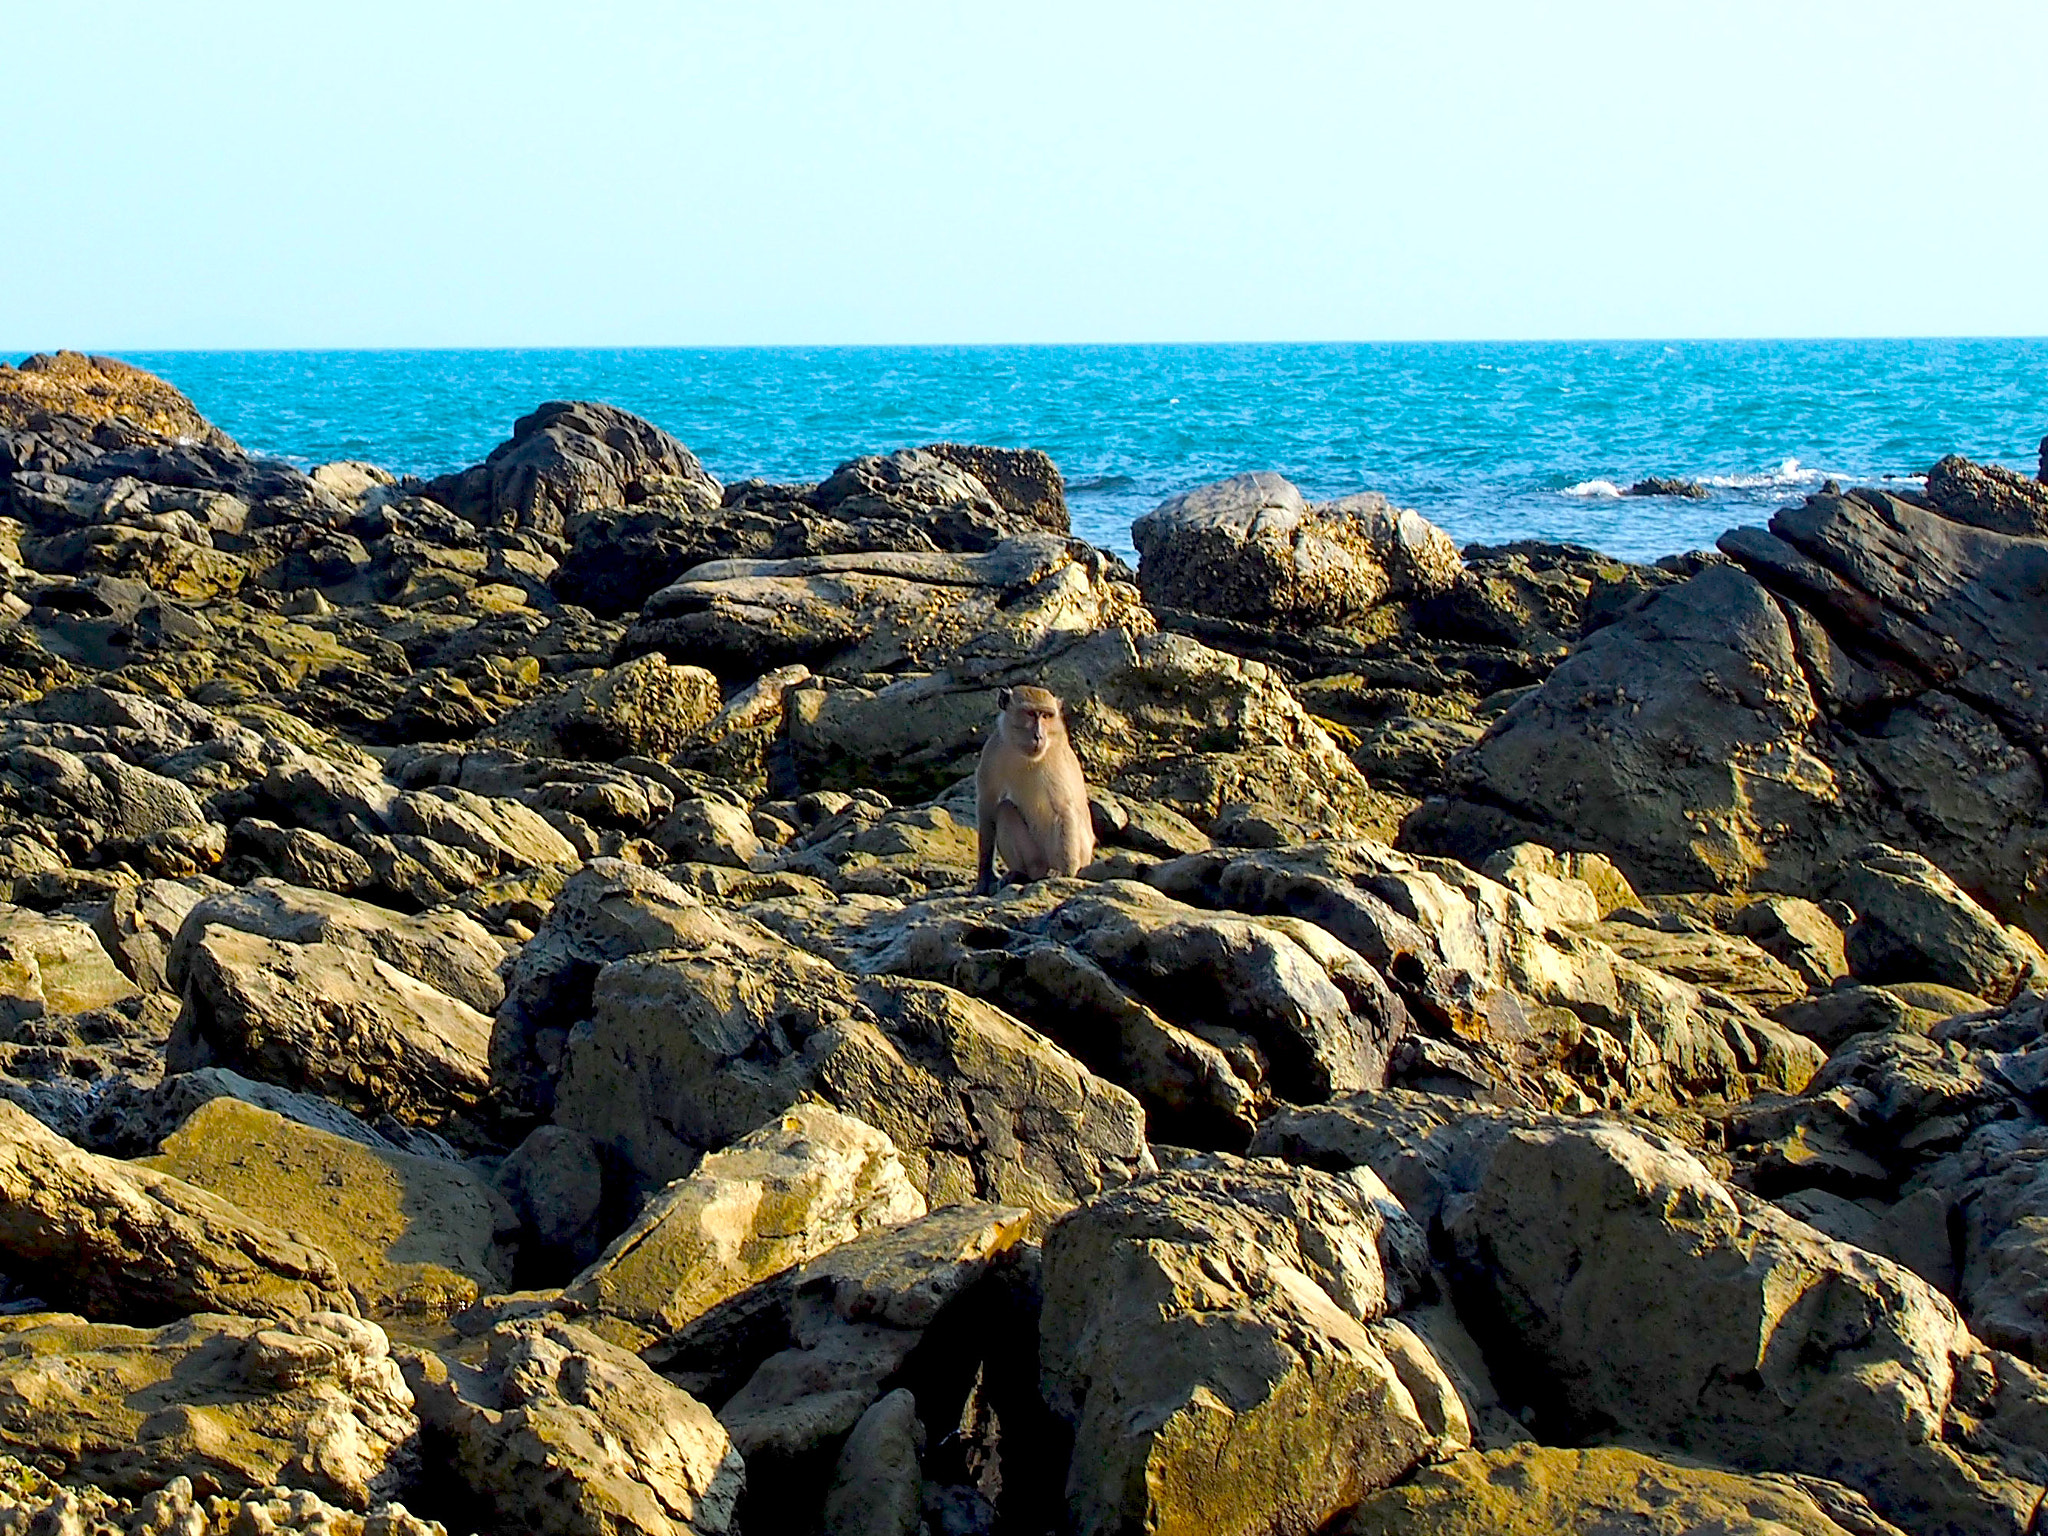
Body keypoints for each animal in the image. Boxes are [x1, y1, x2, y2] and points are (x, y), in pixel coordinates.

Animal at [974, 685, 1095, 896]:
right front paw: (985, 876)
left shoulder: (1055, 759)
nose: (1039, 736)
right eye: (1031, 714)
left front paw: (1066, 872)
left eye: (1046, 716)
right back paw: (1021, 874)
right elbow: (988, 804)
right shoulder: (993, 750)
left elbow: (1063, 808)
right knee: (1005, 809)